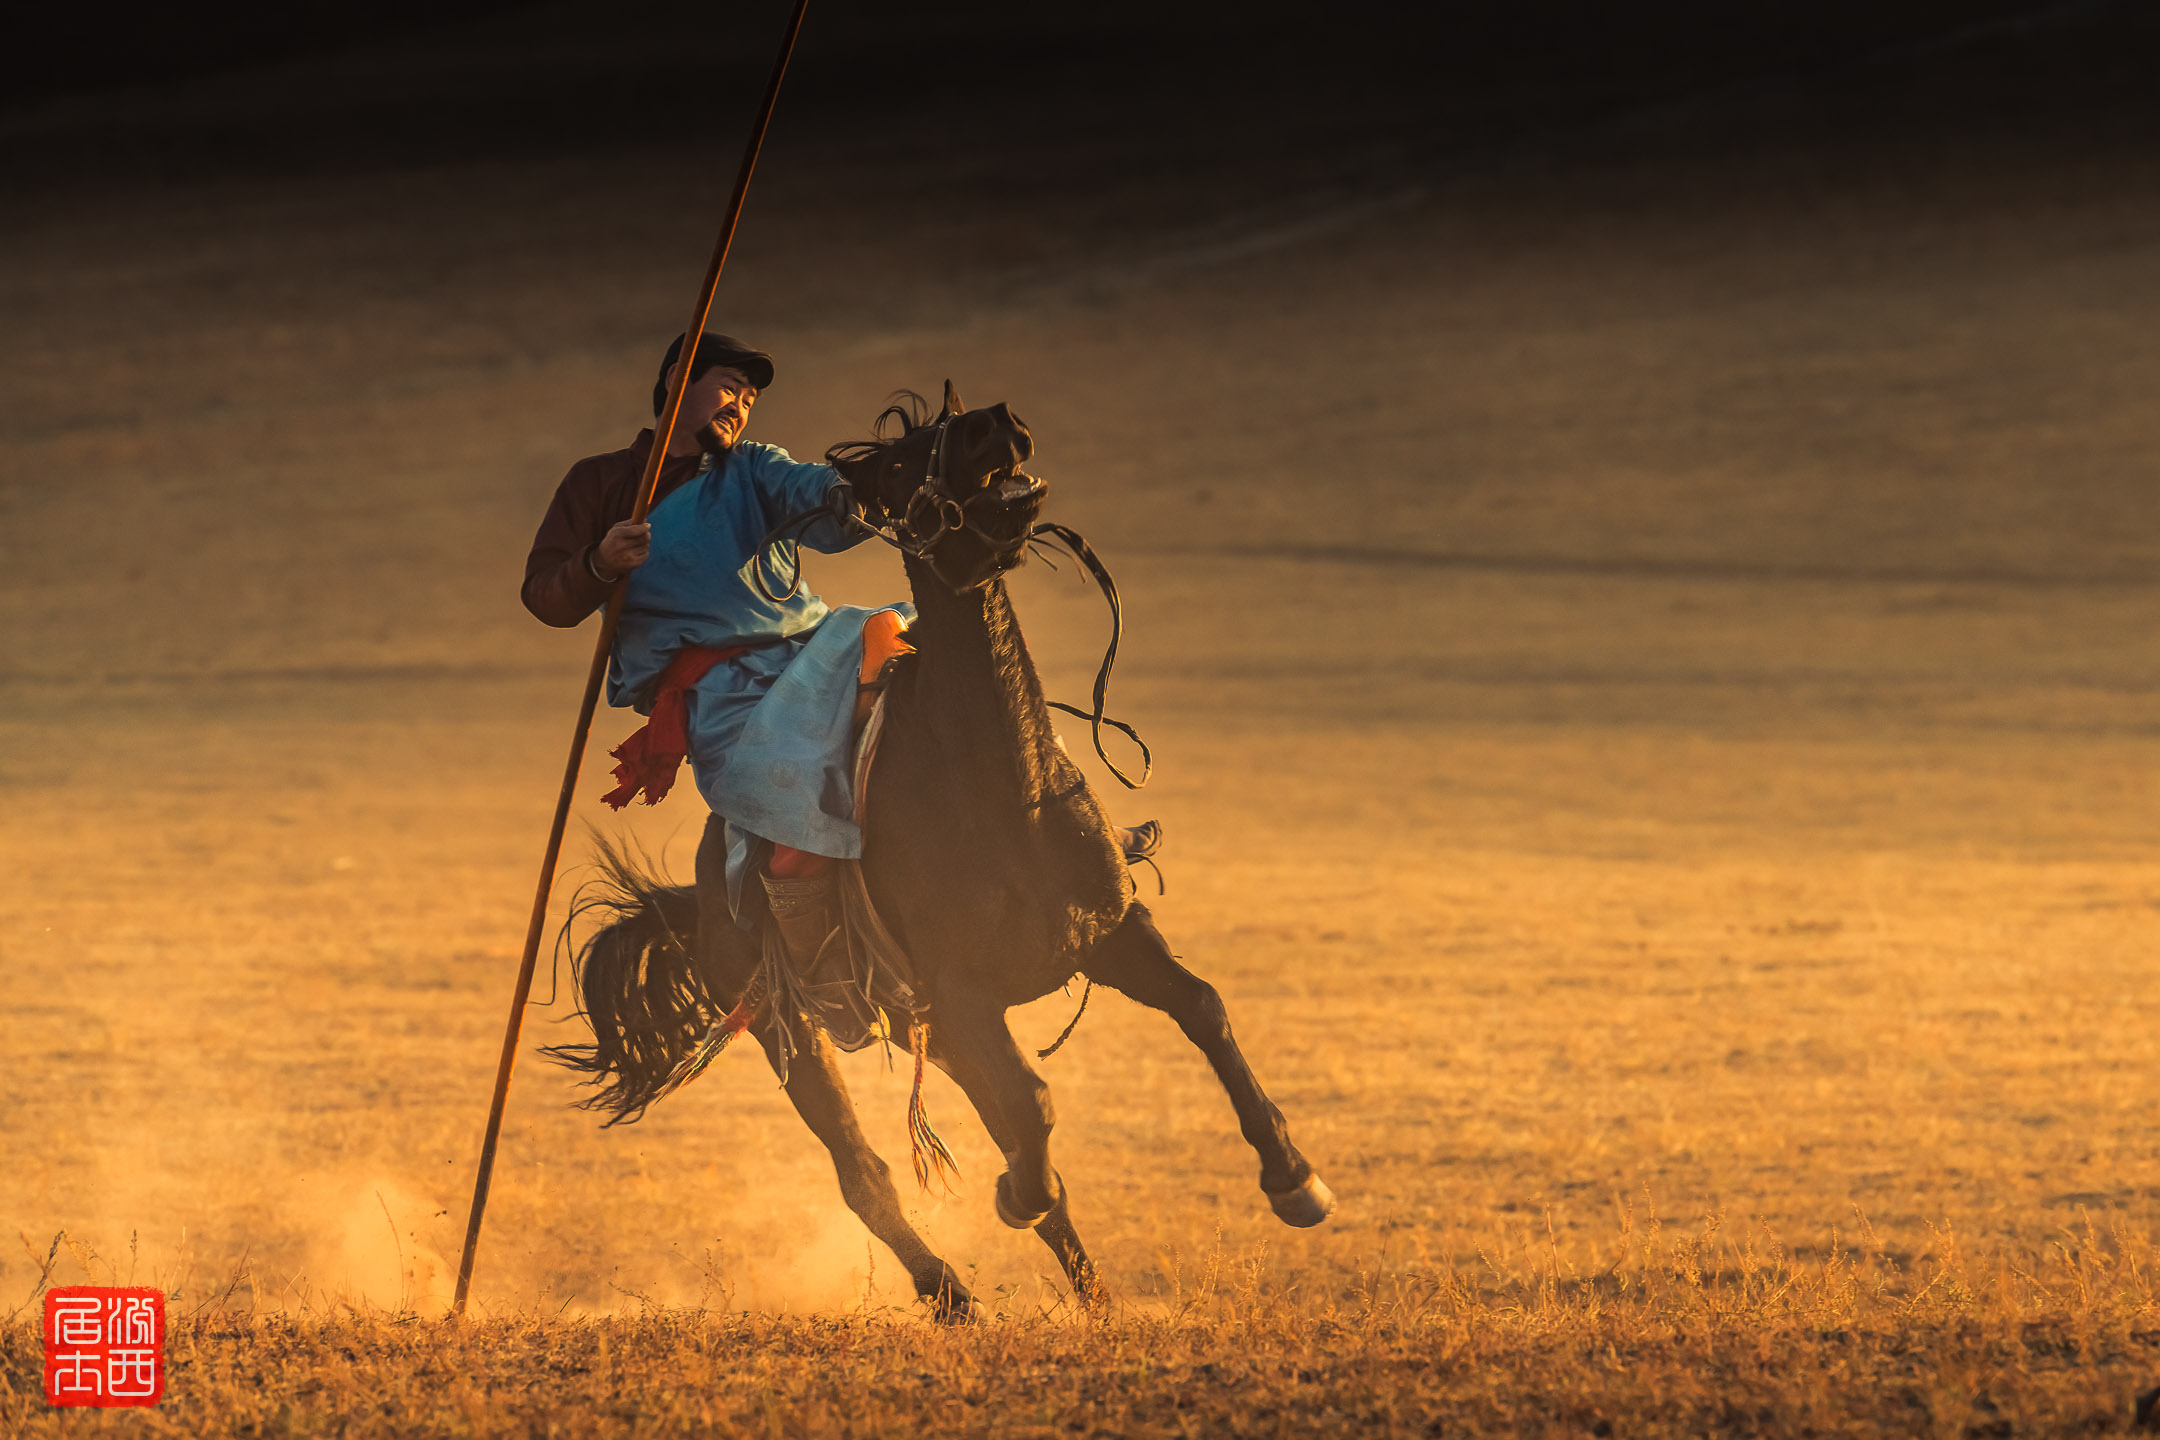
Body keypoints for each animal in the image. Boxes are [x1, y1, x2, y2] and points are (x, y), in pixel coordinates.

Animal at [552, 382, 1330, 1321]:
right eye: (895, 464)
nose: (995, 422)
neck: (1002, 795)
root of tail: (702, 900)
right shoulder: (961, 995)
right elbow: (1033, 1107)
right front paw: (1015, 1194)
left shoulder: (1107, 934)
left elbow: (1202, 1009)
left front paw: (1294, 1180)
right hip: (786, 1025)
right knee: (864, 1173)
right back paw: (951, 1293)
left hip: (935, 1037)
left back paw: (1097, 1303)